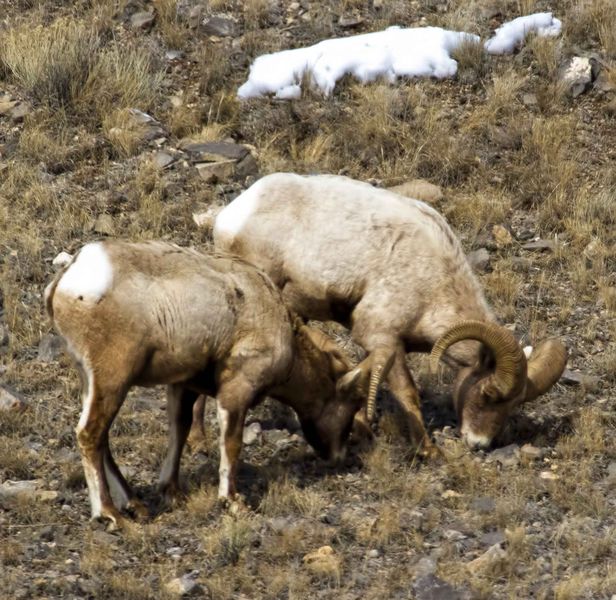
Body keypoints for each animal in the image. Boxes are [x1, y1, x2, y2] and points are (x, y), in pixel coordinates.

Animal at [45, 239, 368, 524]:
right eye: (351, 407)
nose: (338, 458)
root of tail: (69, 279)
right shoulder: (237, 391)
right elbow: (231, 443)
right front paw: (232, 502)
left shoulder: (183, 386)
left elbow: (180, 431)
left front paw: (172, 493)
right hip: (112, 380)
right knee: (89, 434)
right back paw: (110, 515)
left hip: (92, 383)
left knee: (102, 440)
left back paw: (135, 505)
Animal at [213, 172, 568, 450]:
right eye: (490, 393)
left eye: (514, 404)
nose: (478, 443)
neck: (433, 284)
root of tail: (229, 217)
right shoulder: (383, 338)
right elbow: (407, 394)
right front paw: (428, 451)